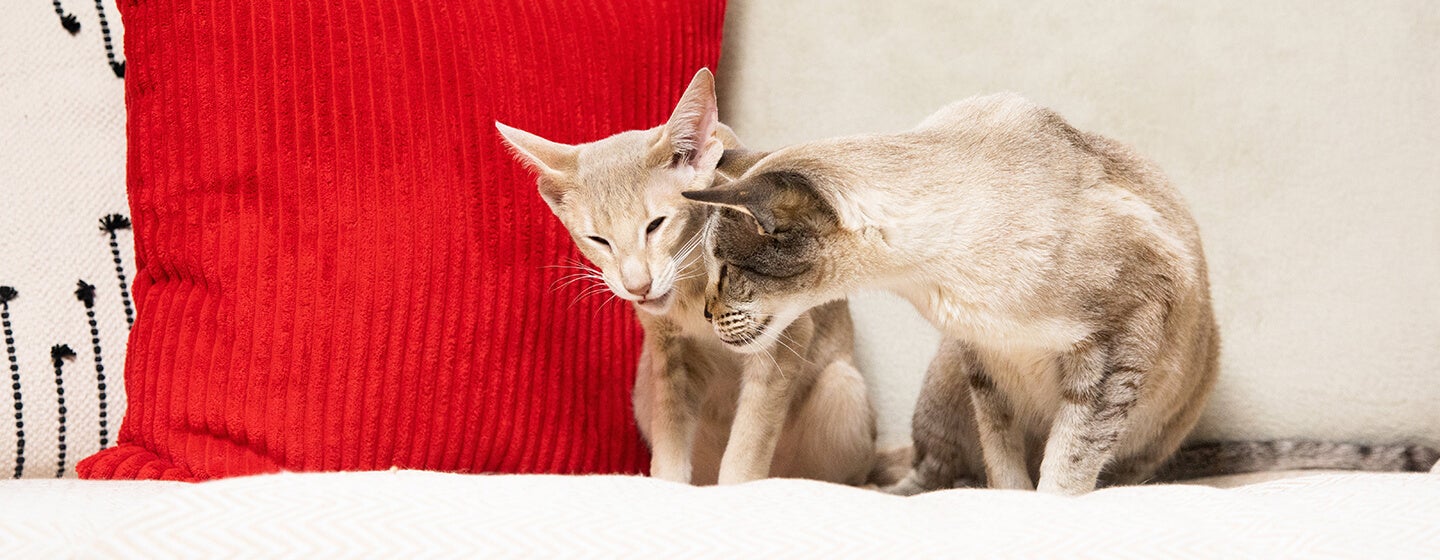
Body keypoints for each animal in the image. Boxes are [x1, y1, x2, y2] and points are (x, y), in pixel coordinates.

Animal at [495, 68, 875, 483]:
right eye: (598, 240)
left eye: (655, 225)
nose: (638, 286)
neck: (692, 287)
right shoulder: (668, 351)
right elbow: (671, 433)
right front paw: (669, 481)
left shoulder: (784, 339)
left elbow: (749, 441)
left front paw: (738, 484)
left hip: (843, 386)